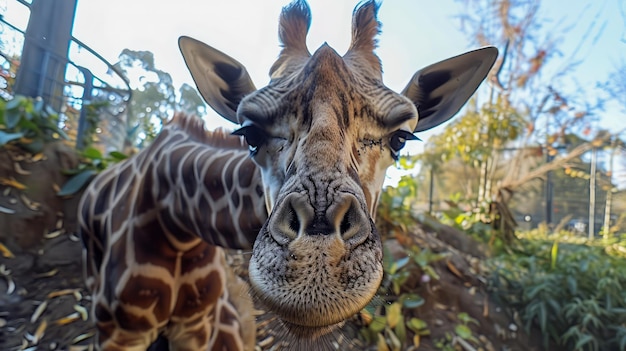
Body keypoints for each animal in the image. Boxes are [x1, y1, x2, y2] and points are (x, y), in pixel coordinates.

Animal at [80, 0, 494, 350]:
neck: (175, 223)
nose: (317, 270)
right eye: (249, 133)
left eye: (400, 139)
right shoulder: (119, 333)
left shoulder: (199, 324)